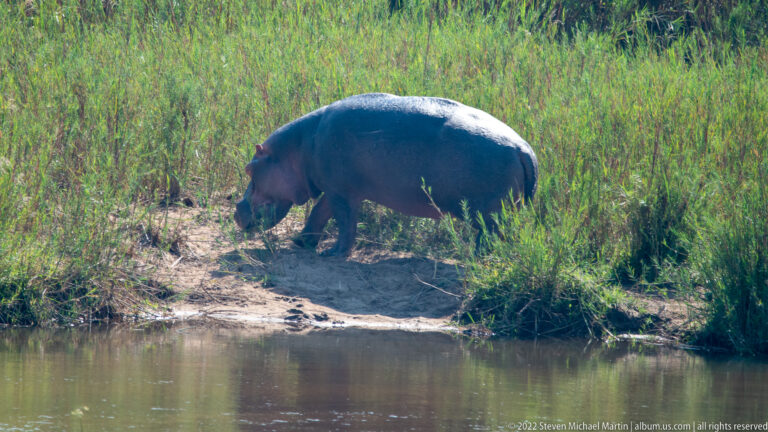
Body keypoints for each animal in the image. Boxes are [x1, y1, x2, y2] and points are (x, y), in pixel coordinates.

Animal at [234, 93, 538, 257]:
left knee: (489, 237)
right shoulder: (335, 189)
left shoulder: (341, 192)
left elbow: (345, 223)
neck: (298, 147)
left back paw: (475, 257)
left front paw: (333, 253)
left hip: (488, 213)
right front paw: (301, 242)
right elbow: (319, 214)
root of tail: (523, 148)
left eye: (249, 168)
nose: (236, 211)